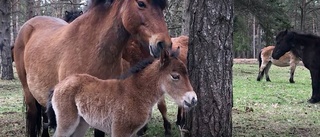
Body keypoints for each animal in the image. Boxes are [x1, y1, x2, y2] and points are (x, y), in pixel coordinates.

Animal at [13, 0, 171, 136]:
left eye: (163, 7)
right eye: (141, 3)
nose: (164, 44)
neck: (90, 48)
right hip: (29, 92)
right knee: (34, 115)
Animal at [44, 48, 195, 136]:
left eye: (187, 74)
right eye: (175, 76)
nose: (193, 99)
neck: (137, 92)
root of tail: (57, 86)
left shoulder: (132, 132)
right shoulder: (120, 130)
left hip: (81, 123)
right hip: (67, 123)